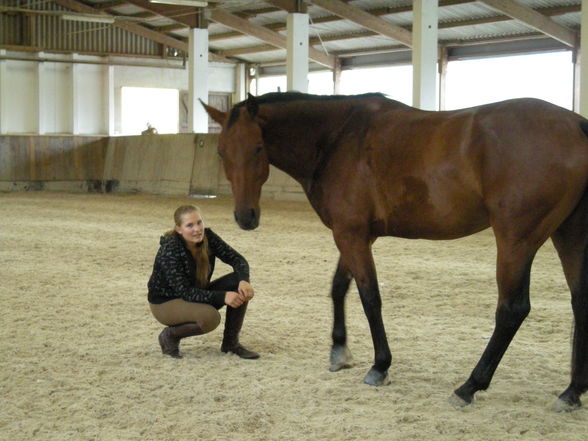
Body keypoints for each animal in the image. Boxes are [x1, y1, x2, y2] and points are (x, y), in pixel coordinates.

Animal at [202, 91, 588, 410]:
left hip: (516, 240)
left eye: (257, 148)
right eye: (221, 151)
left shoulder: (351, 234)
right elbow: (339, 288)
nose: (246, 217)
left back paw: (469, 387)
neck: (339, 137)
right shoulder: (355, 235)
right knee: (579, 300)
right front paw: (339, 350)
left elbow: (369, 298)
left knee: (512, 310)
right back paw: (571, 392)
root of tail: (576, 125)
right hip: (568, 235)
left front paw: (379, 366)